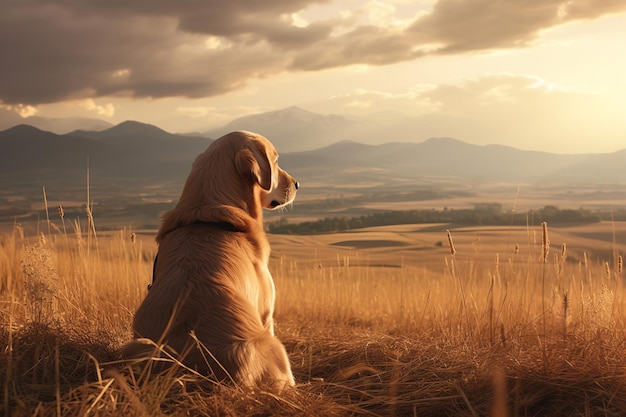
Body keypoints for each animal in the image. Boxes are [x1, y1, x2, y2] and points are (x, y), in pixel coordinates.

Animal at [123, 131, 298, 390]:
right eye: (276, 161)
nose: (297, 184)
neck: (205, 210)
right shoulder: (267, 314)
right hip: (273, 346)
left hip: (135, 347)